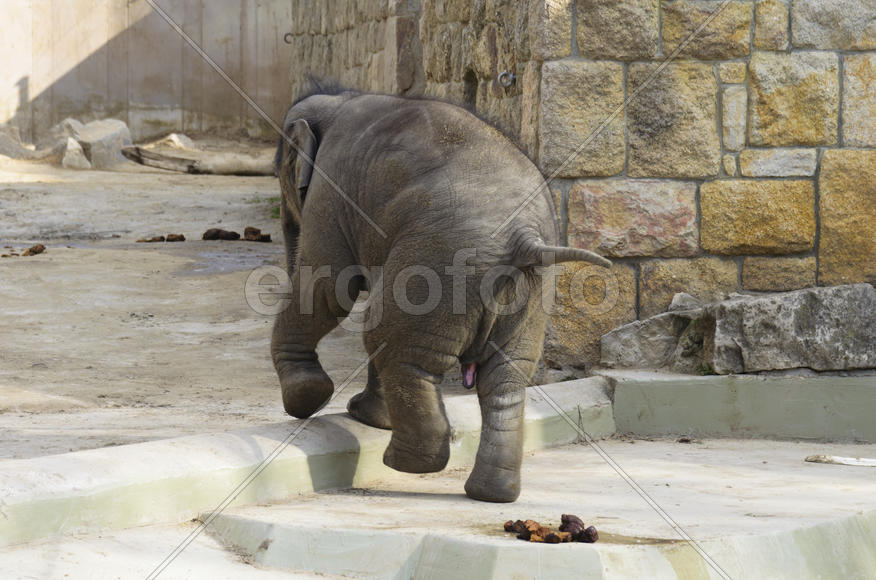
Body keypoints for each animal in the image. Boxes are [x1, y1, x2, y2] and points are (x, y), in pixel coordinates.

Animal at [272, 87, 610, 503]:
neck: (338, 99)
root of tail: (524, 239)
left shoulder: (330, 191)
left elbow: (327, 286)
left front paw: (309, 399)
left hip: (439, 264)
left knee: (393, 343)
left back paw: (405, 462)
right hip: (530, 293)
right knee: (505, 377)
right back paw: (491, 493)